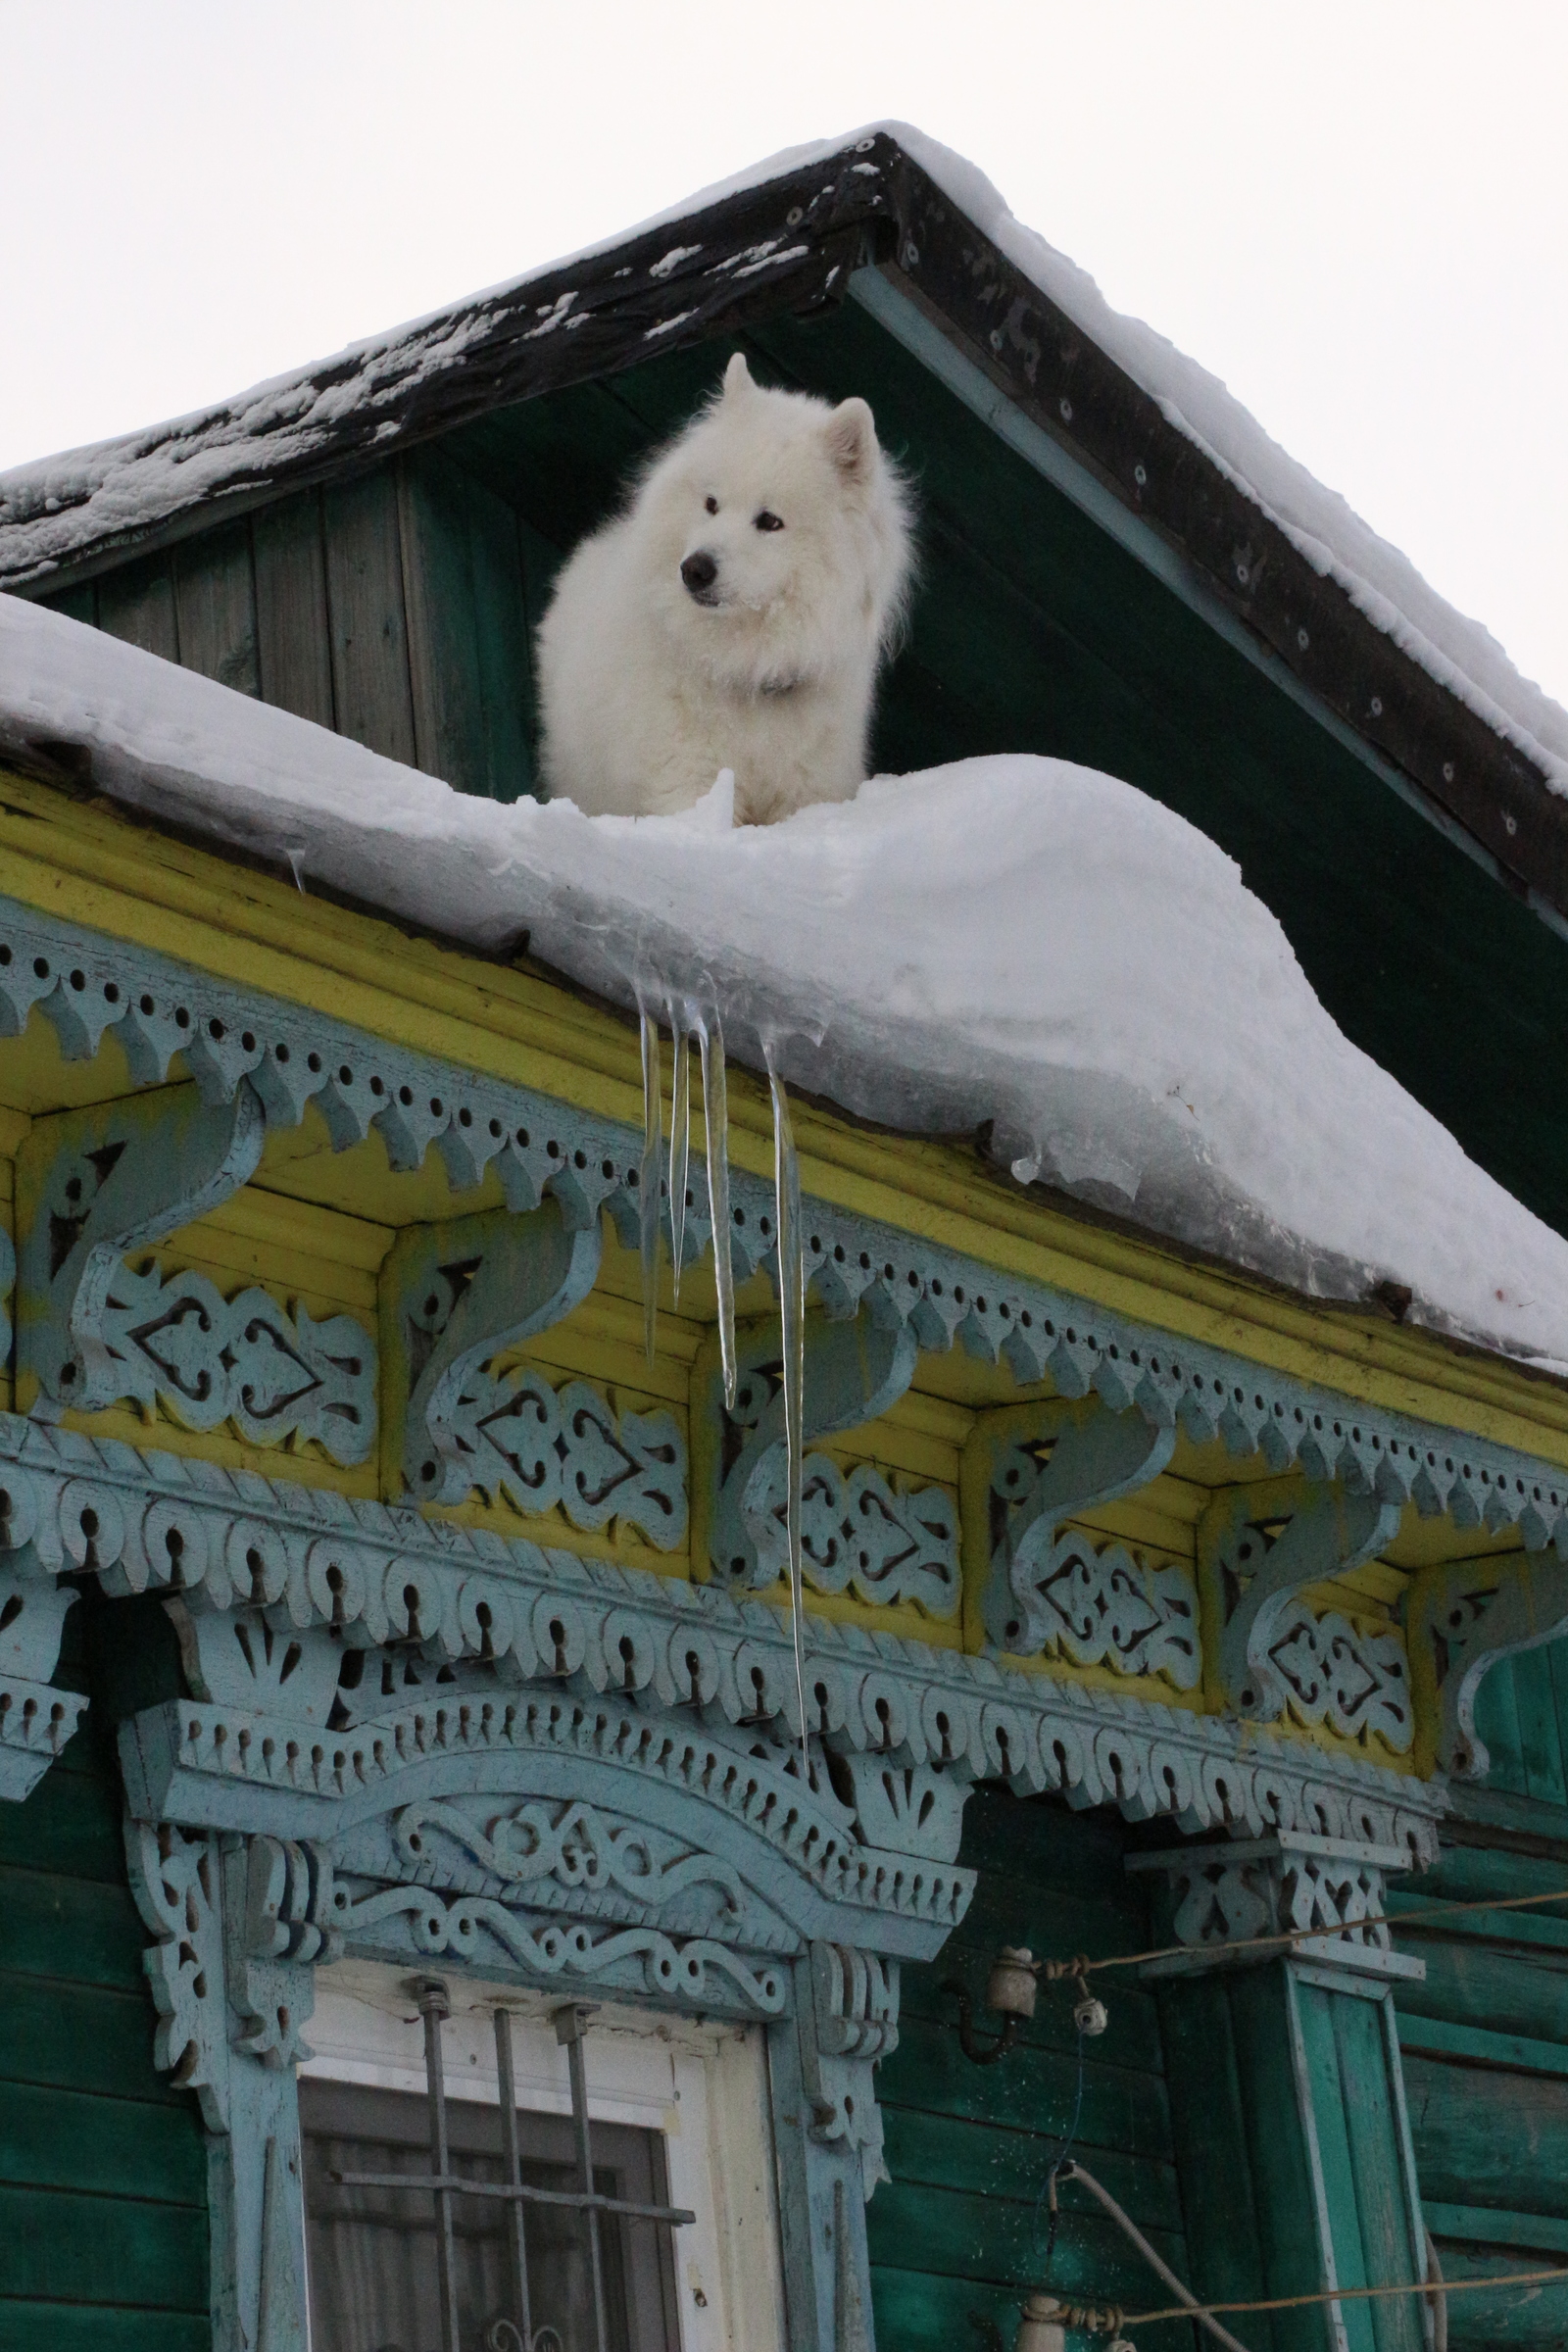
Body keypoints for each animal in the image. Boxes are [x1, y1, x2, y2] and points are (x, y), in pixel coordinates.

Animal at [535, 348, 911, 827]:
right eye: (711, 503)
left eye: (769, 521)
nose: (694, 569)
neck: (748, 670)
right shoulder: (687, 776)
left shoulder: (807, 792)